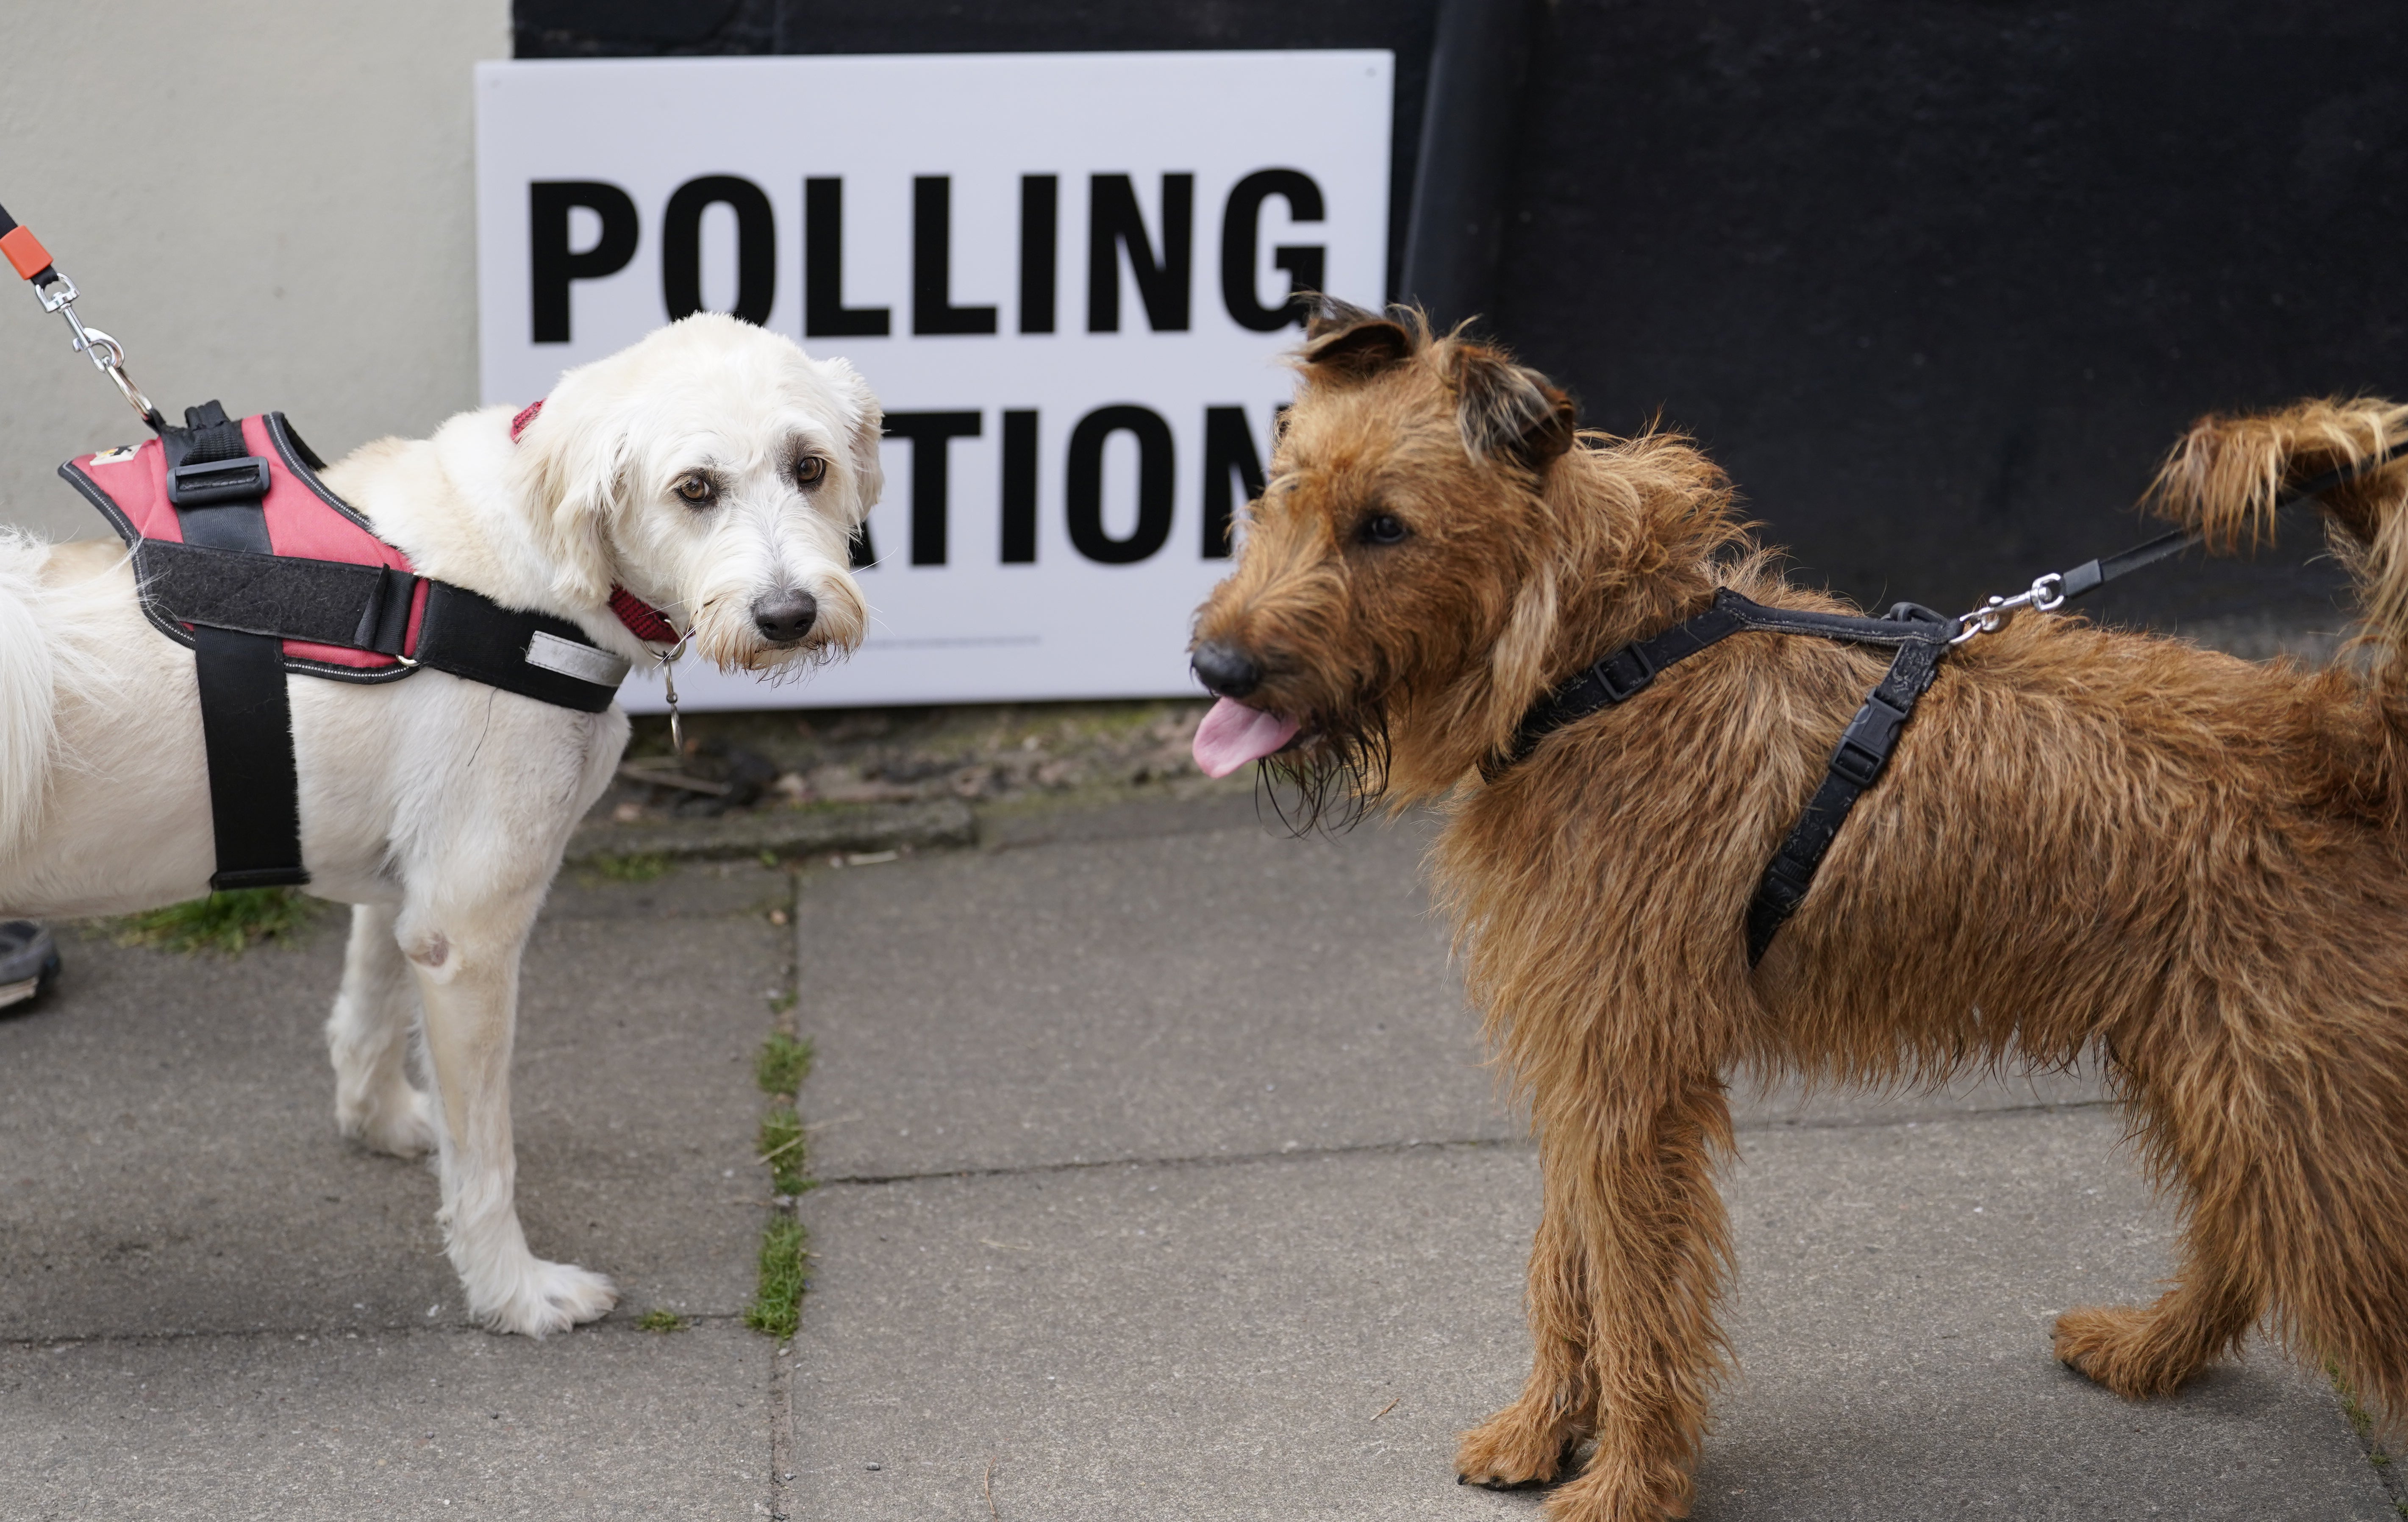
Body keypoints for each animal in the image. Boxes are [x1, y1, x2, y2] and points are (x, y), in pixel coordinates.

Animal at [0, 318, 886, 1329]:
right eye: (694, 488)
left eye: (810, 467)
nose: (788, 615)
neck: (528, 567)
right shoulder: (472, 931)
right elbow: (487, 1156)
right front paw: (514, 1291)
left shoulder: (408, 895)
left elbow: (370, 1013)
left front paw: (381, 1121)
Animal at [1194, 300, 2408, 1522]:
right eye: (1279, 491)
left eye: (1386, 527)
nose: (1215, 665)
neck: (1601, 659)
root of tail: (2343, 743)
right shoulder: (1586, 1064)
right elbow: (1566, 1260)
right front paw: (1544, 1431)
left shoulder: (1628, 1084)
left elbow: (1631, 1289)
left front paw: (1626, 1486)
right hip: (2231, 1086)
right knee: (2241, 1232)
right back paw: (2152, 1350)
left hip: (2304, 1113)